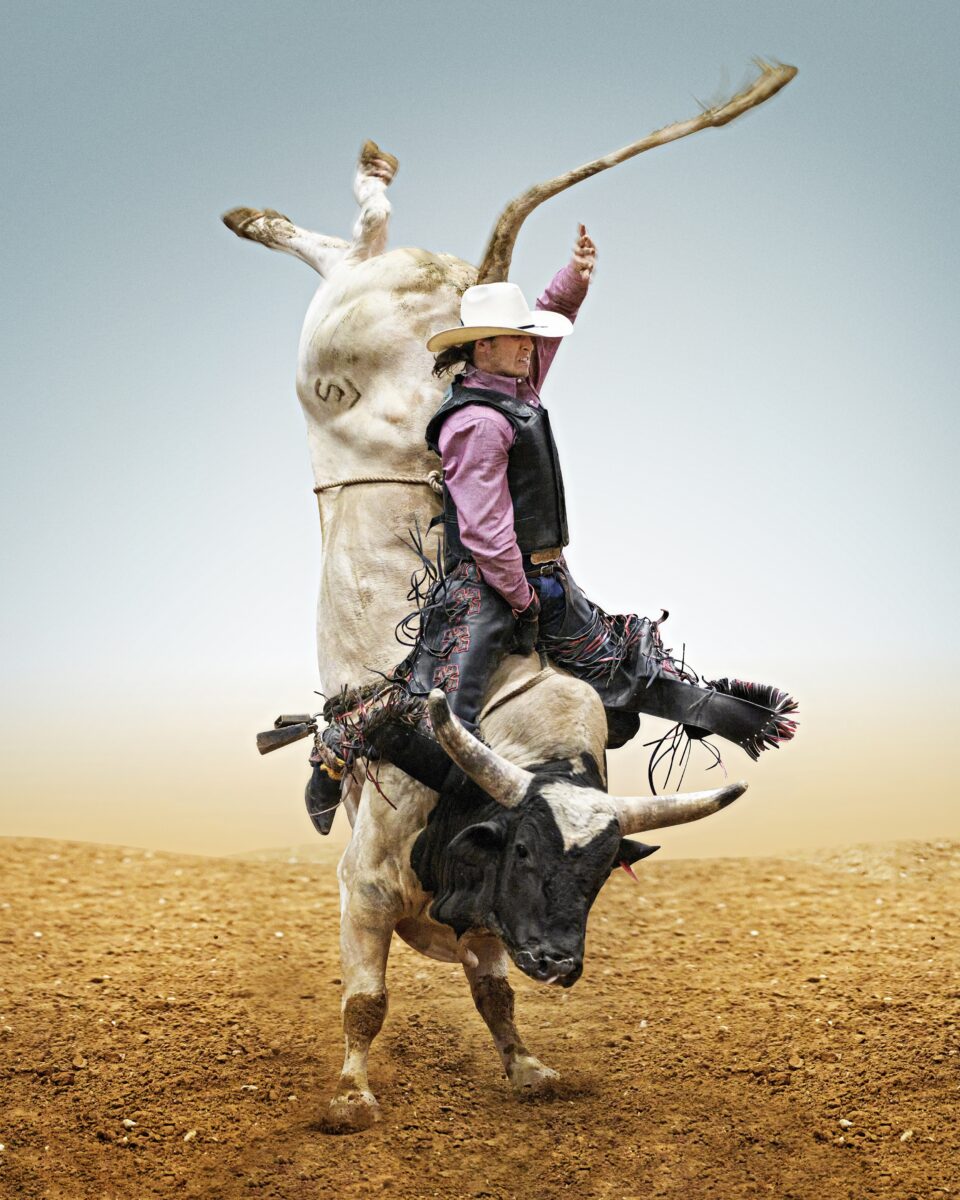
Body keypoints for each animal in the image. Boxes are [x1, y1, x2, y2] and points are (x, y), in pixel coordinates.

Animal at [223, 58, 796, 1132]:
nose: (560, 962)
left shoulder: (480, 918)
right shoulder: (364, 886)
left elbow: (491, 992)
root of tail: (463, 287)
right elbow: (365, 1000)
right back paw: (277, 212)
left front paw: (527, 1067)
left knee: (366, 246)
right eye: (527, 853)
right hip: (333, 336)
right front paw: (352, 1098)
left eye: (601, 873)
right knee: (348, 248)